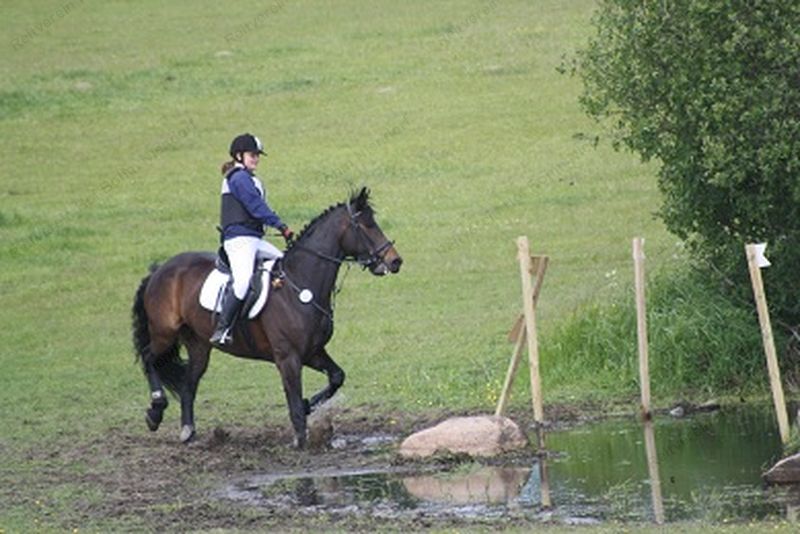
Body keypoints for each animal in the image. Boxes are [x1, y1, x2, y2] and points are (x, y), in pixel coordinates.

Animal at [131, 187, 402, 448]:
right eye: (366, 226)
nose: (395, 261)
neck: (300, 285)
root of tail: (159, 270)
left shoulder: (312, 352)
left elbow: (336, 377)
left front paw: (308, 406)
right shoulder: (288, 357)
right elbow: (294, 400)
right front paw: (300, 440)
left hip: (199, 345)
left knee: (188, 385)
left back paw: (188, 431)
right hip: (164, 333)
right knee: (149, 357)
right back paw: (155, 412)